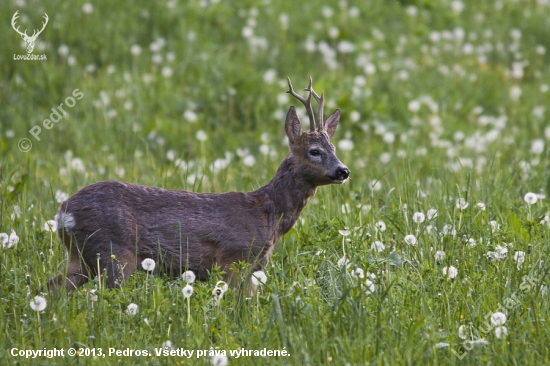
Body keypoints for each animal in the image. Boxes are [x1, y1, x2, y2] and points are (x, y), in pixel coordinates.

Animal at [46, 76, 350, 292]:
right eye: (314, 151)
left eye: (334, 148)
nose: (343, 170)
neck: (267, 215)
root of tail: (63, 212)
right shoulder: (234, 258)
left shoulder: (255, 265)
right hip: (114, 254)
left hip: (80, 257)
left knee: (51, 287)